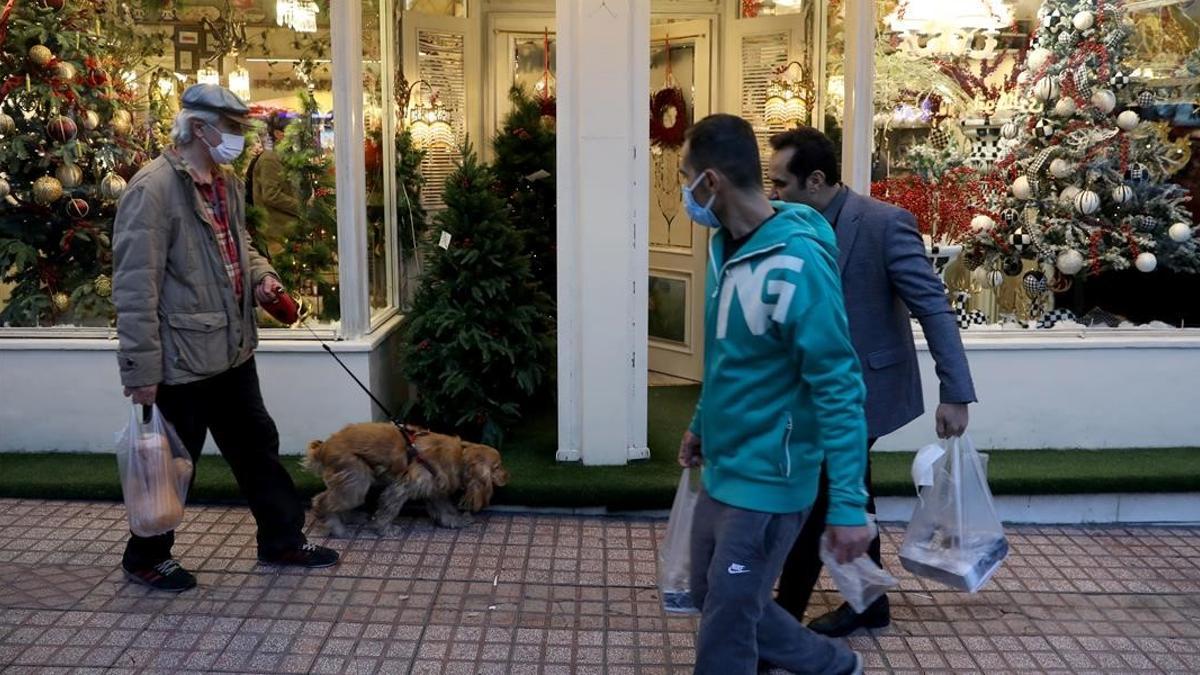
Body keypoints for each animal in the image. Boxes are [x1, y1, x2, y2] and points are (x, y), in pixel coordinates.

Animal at [304, 420, 511, 535]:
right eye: (497, 467)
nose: (508, 476)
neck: (460, 456)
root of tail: (322, 448)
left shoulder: (434, 488)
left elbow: (444, 508)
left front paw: (455, 521)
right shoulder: (401, 488)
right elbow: (388, 510)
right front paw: (384, 529)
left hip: (351, 480)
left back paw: (350, 518)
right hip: (356, 478)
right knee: (321, 501)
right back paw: (336, 527)